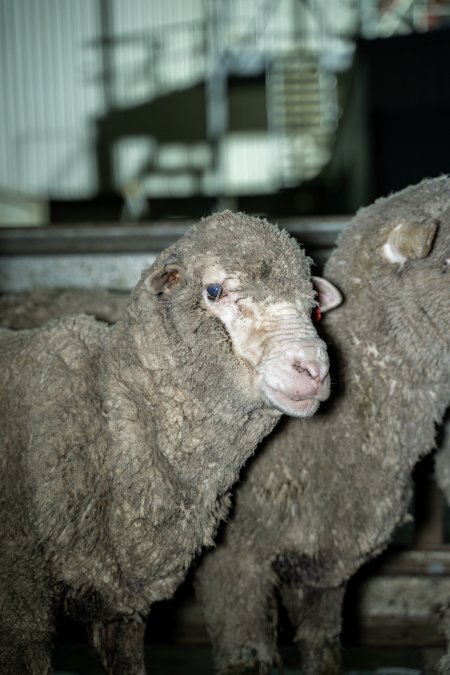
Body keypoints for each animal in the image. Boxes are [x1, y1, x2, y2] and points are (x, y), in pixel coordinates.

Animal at [0, 211, 342, 675]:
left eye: (315, 307)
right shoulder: (21, 599)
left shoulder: (121, 606)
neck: (109, 418)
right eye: (214, 290)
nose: (313, 369)